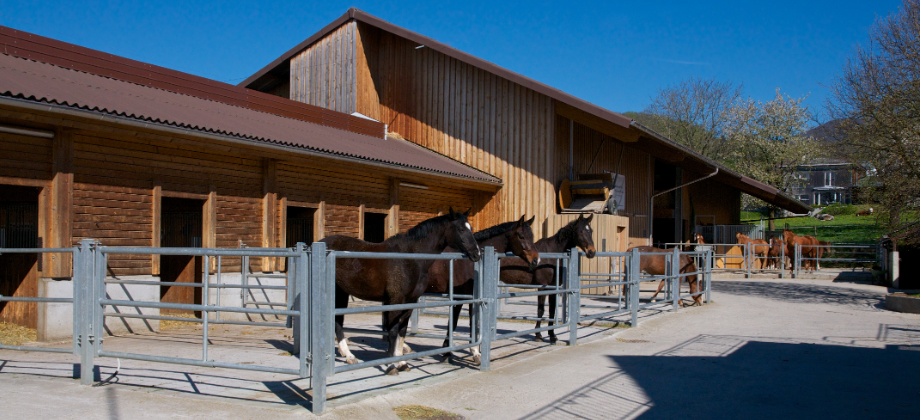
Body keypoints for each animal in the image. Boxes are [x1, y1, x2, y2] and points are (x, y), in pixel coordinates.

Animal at [322, 207, 482, 374]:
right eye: (461, 229)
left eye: (471, 228)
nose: (476, 254)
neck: (410, 258)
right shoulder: (396, 300)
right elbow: (393, 332)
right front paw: (391, 366)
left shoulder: (410, 302)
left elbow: (402, 330)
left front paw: (402, 363)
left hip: (341, 293)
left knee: (337, 322)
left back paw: (349, 356)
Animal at [424, 215, 540, 362]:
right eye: (521, 236)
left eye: (532, 236)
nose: (536, 260)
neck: (469, 263)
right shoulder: (459, 297)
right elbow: (454, 322)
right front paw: (447, 352)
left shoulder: (474, 297)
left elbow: (475, 322)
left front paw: (475, 352)